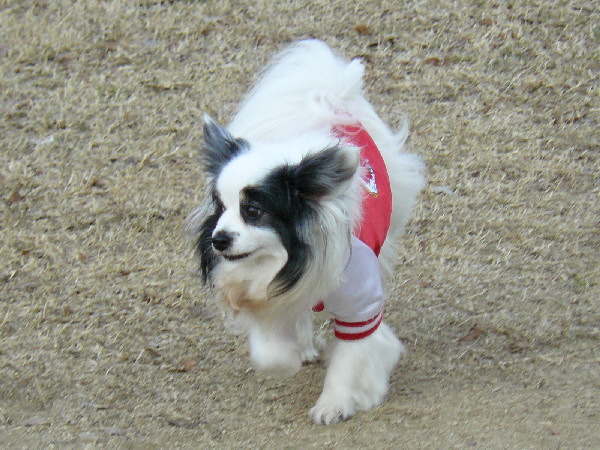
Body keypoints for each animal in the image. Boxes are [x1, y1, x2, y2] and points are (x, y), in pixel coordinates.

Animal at [187, 40, 425, 424]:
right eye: (220, 207)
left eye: (253, 211)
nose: (218, 239)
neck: (292, 260)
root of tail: (329, 100)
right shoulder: (266, 295)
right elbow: (270, 351)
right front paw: (289, 360)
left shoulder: (361, 308)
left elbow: (350, 358)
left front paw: (336, 403)